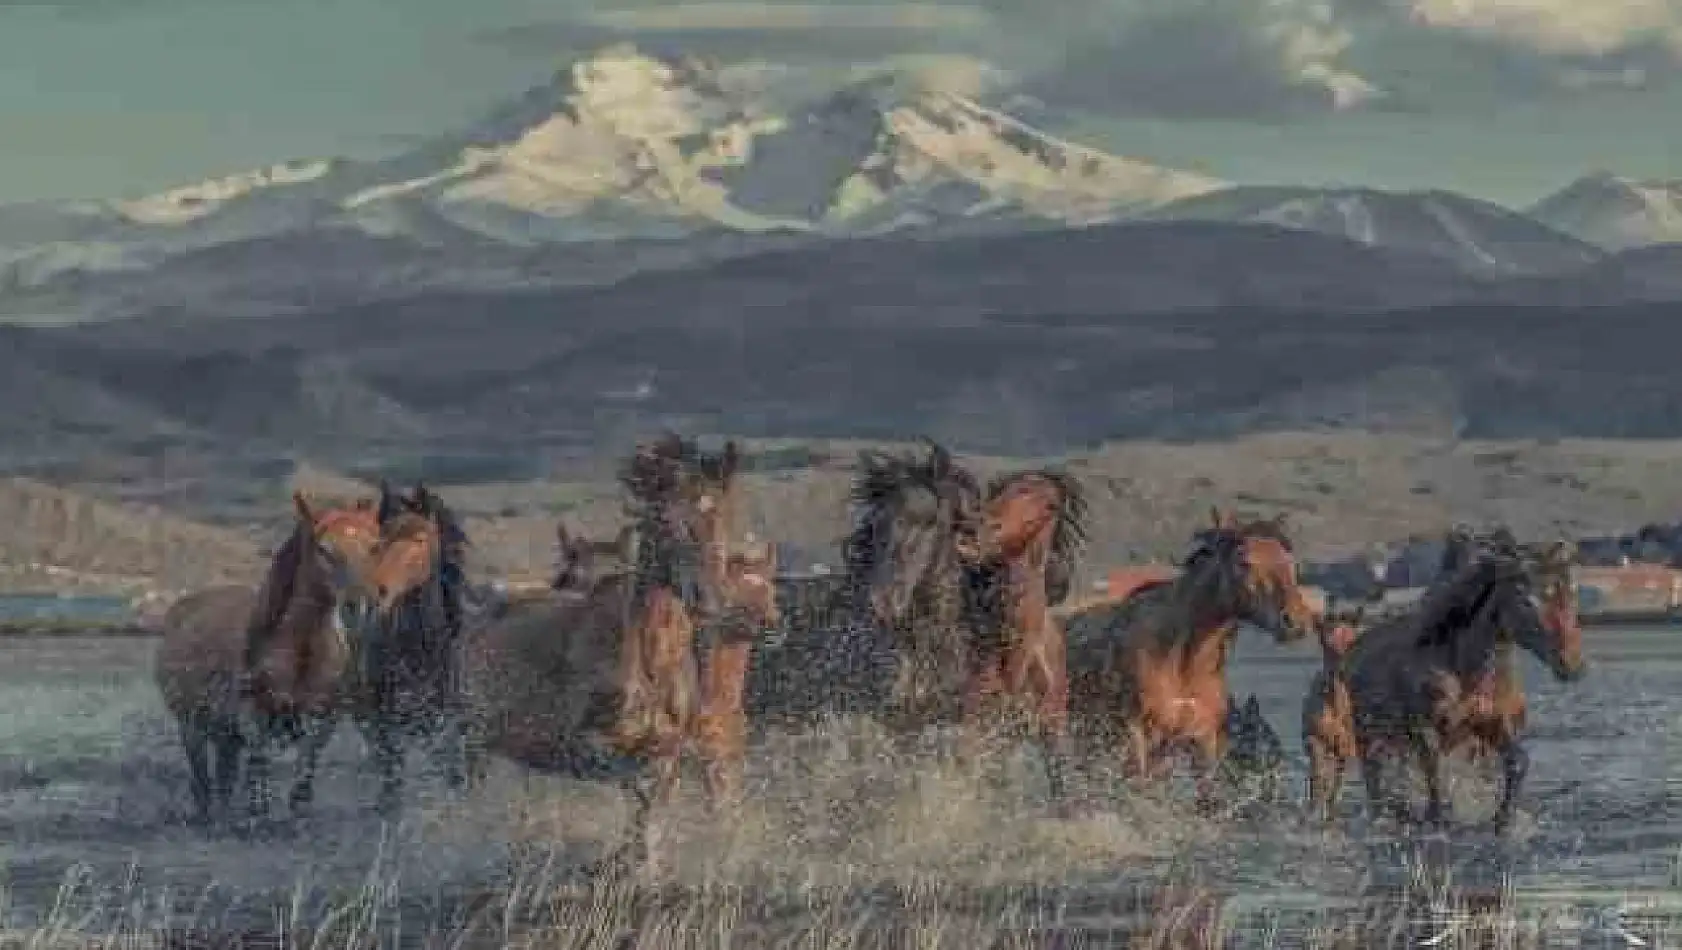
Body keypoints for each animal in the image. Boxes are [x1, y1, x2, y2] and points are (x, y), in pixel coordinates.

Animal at [240, 494, 385, 827]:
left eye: (374, 547)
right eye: (324, 550)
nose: (364, 604)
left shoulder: (324, 709)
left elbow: (307, 763)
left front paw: (298, 811)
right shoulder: (261, 703)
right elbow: (257, 761)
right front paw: (256, 812)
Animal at [1063, 507, 1325, 810]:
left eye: (1289, 560)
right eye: (1244, 561)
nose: (1295, 622)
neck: (1181, 659)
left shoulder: (1202, 743)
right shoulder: (1136, 734)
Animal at [1332, 534, 1581, 830]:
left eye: (1570, 597)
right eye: (1528, 601)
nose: (1572, 665)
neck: (1463, 668)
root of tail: (1353, 649)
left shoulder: (1489, 725)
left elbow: (1517, 761)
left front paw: (1502, 819)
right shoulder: (1426, 729)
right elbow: (1434, 774)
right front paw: (1435, 818)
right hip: (1369, 736)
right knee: (1375, 779)